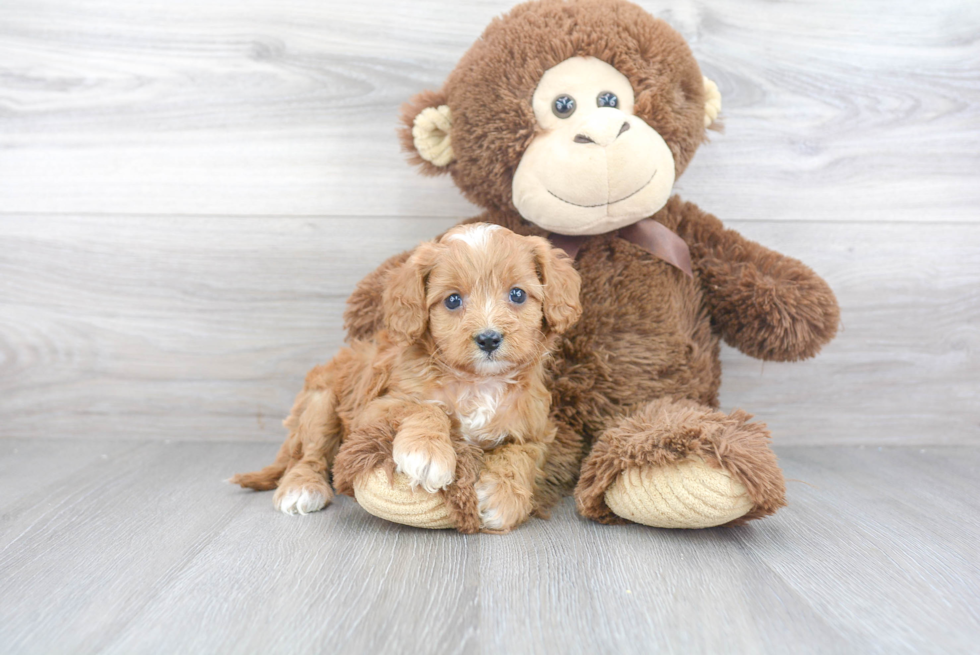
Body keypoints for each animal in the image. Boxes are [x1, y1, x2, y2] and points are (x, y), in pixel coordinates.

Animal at [230, 224, 580, 532]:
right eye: (453, 300)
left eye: (517, 294)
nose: (489, 339)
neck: (477, 383)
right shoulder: (375, 409)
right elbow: (424, 406)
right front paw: (427, 452)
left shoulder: (537, 428)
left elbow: (523, 454)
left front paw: (503, 495)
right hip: (321, 401)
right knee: (308, 454)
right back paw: (302, 487)